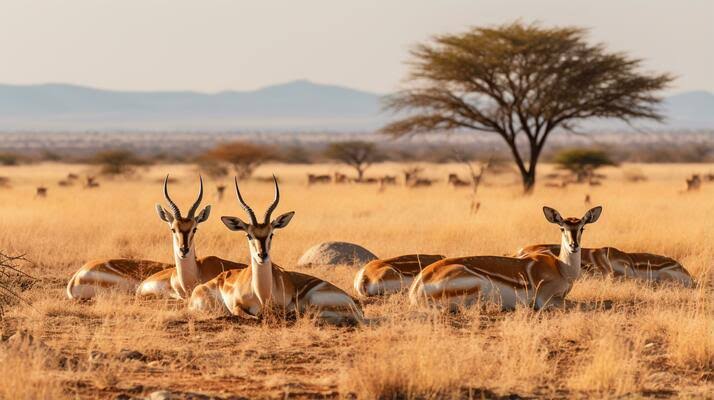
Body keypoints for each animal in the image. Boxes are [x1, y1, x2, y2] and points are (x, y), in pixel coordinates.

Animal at [188, 177, 363, 325]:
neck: (261, 295)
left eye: (271, 233)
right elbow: (248, 314)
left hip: (312, 299)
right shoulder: (237, 306)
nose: (262, 255)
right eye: (248, 235)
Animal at [409, 206, 602, 310]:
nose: (573, 245)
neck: (561, 268)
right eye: (562, 228)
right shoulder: (546, 299)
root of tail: (416, 288)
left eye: (582, 228)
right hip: (479, 286)